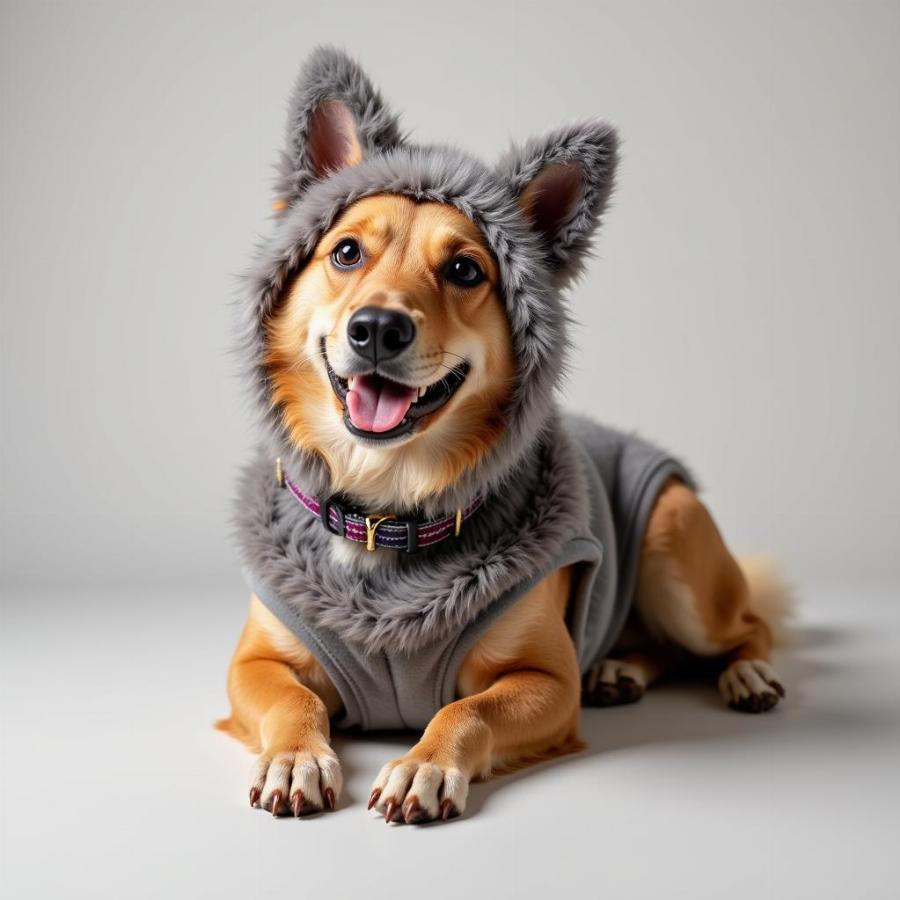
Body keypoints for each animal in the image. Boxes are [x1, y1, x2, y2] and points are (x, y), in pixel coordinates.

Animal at [216, 47, 788, 824]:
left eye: (464, 269)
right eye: (346, 253)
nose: (376, 329)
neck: (387, 510)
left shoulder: (545, 680)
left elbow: (466, 712)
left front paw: (423, 768)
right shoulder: (256, 662)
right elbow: (290, 701)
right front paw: (297, 756)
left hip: (675, 542)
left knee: (746, 625)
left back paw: (746, 672)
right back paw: (620, 668)